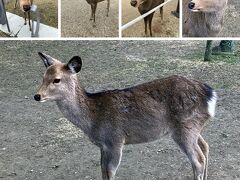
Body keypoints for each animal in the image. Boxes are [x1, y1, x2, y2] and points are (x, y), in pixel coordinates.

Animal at [34, 52, 218, 180]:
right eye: (43, 77)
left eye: (57, 79)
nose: (37, 96)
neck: (93, 120)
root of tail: (211, 95)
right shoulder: (103, 146)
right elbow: (102, 171)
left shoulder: (114, 141)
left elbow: (110, 173)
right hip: (193, 127)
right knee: (205, 147)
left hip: (184, 128)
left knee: (198, 160)